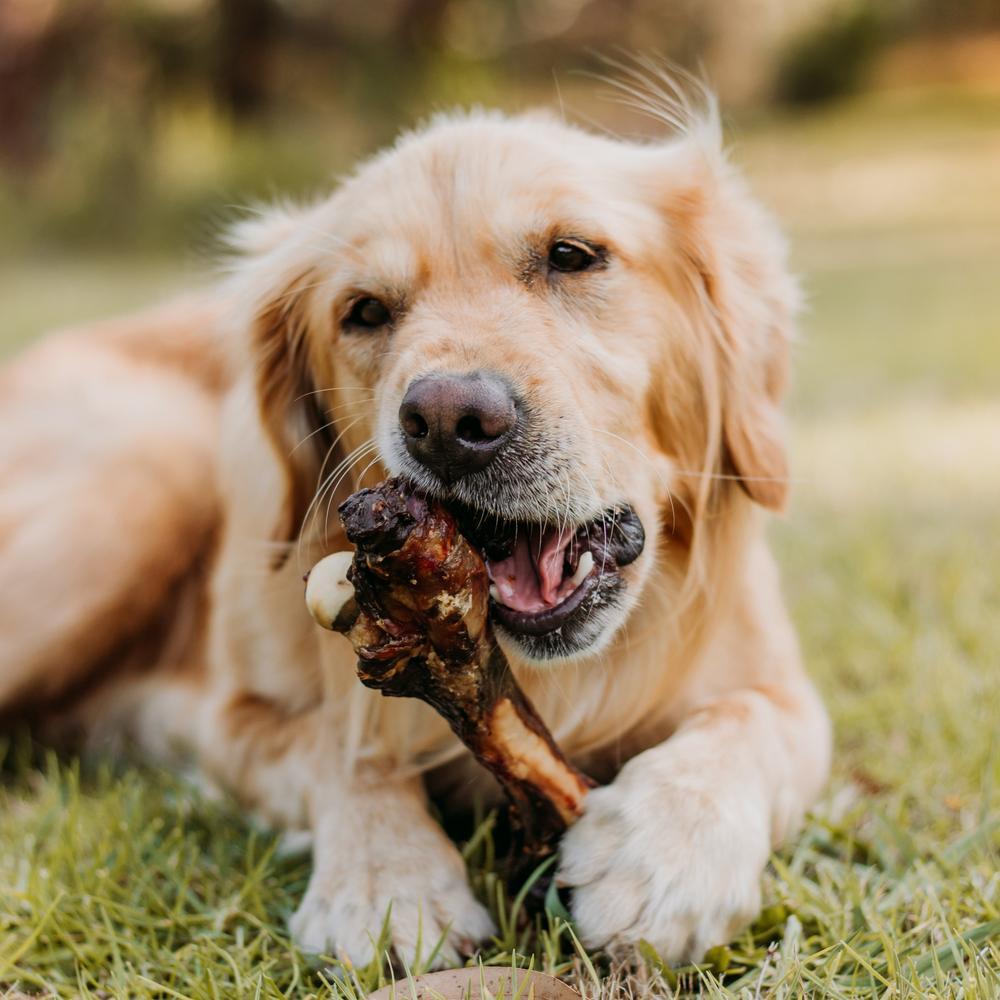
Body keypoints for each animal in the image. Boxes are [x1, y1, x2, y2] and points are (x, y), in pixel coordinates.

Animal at [0, 80, 828, 968]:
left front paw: (662, 855)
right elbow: (340, 743)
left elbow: (750, 721)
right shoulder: (236, 720)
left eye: (573, 255)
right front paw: (386, 881)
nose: (448, 422)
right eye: (364, 312)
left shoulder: (785, 690)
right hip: (136, 489)